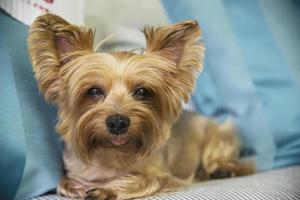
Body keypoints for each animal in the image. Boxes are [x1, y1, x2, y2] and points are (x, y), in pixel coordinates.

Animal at [27, 14, 253, 200]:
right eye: (94, 91)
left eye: (142, 92)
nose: (118, 122)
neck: (111, 154)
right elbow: (63, 183)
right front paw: (76, 186)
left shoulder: (163, 176)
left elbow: (141, 178)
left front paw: (107, 189)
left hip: (220, 136)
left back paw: (224, 169)